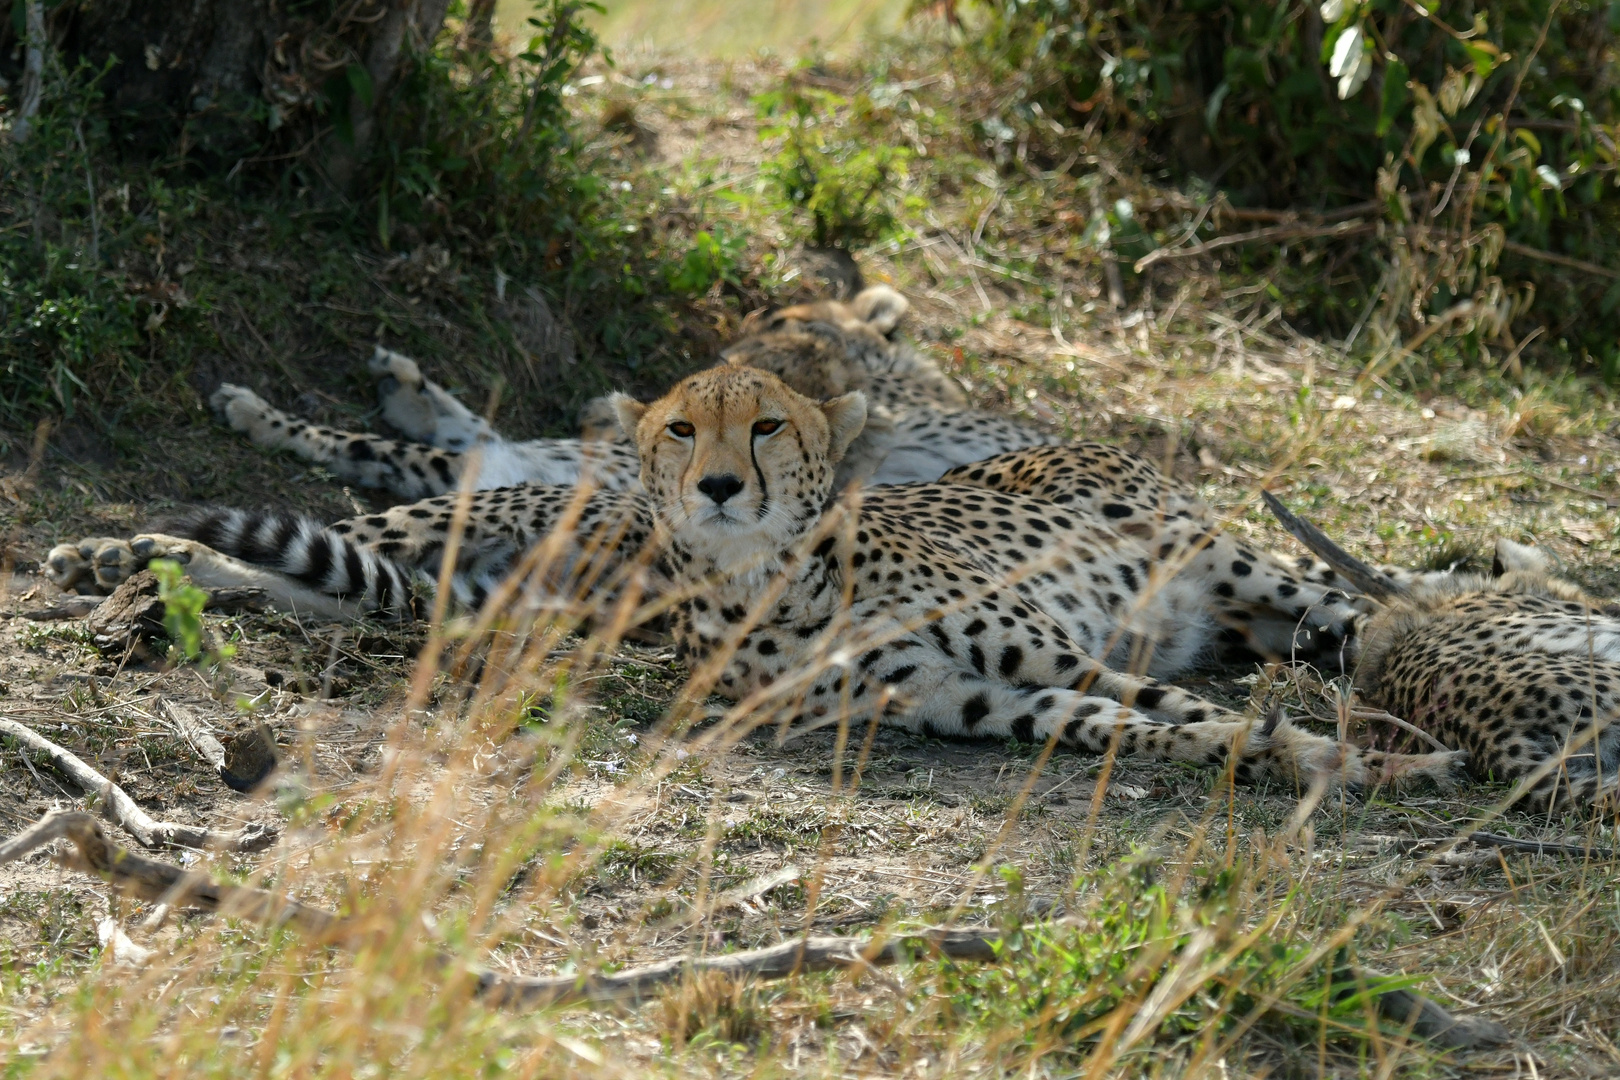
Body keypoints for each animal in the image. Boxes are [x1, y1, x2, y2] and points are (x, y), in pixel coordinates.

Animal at [53, 367, 1470, 790]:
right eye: (692, 430)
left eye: (770, 427)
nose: (723, 485)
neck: (766, 588)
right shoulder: (990, 700)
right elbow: (1152, 729)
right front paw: (1327, 762)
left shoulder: (1039, 665)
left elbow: (1177, 721)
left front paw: (1344, 760)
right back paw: (122, 560)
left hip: (1249, 573)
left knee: (1355, 618)